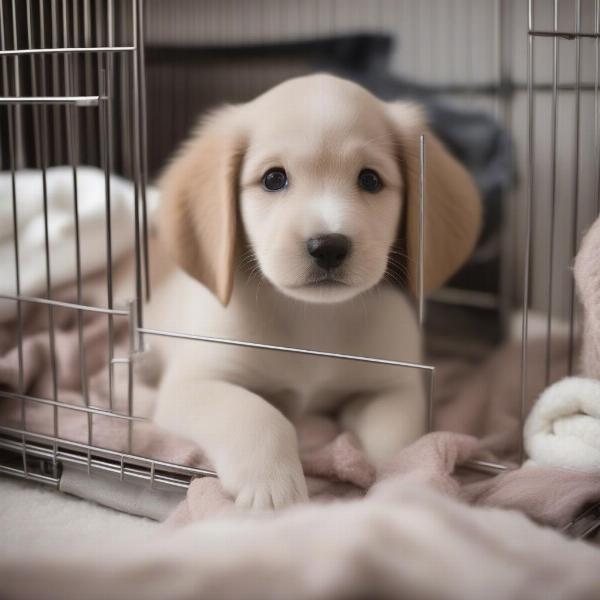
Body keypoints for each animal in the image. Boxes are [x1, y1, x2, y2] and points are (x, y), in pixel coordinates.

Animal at [150, 72, 482, 508]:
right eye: (274, 178)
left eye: (370, 179)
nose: (328, 247)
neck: (314, 320)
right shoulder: (194, 382)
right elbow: (256, 413)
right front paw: (273, 489)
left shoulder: (393, 387)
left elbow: (393, 441)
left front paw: (398, 482)